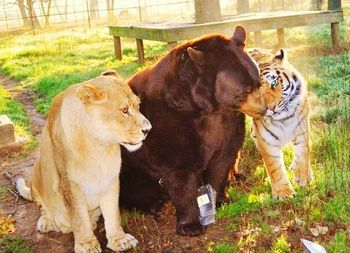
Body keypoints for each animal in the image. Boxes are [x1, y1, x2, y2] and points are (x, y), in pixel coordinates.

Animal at [247, 48, 314, 199]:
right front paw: (284, 193)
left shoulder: (302, 128)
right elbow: (274, 167)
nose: (270, 108)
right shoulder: (267, 140)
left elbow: (303, 152)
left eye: (273, 83)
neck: (284, 118)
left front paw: (302, 178)